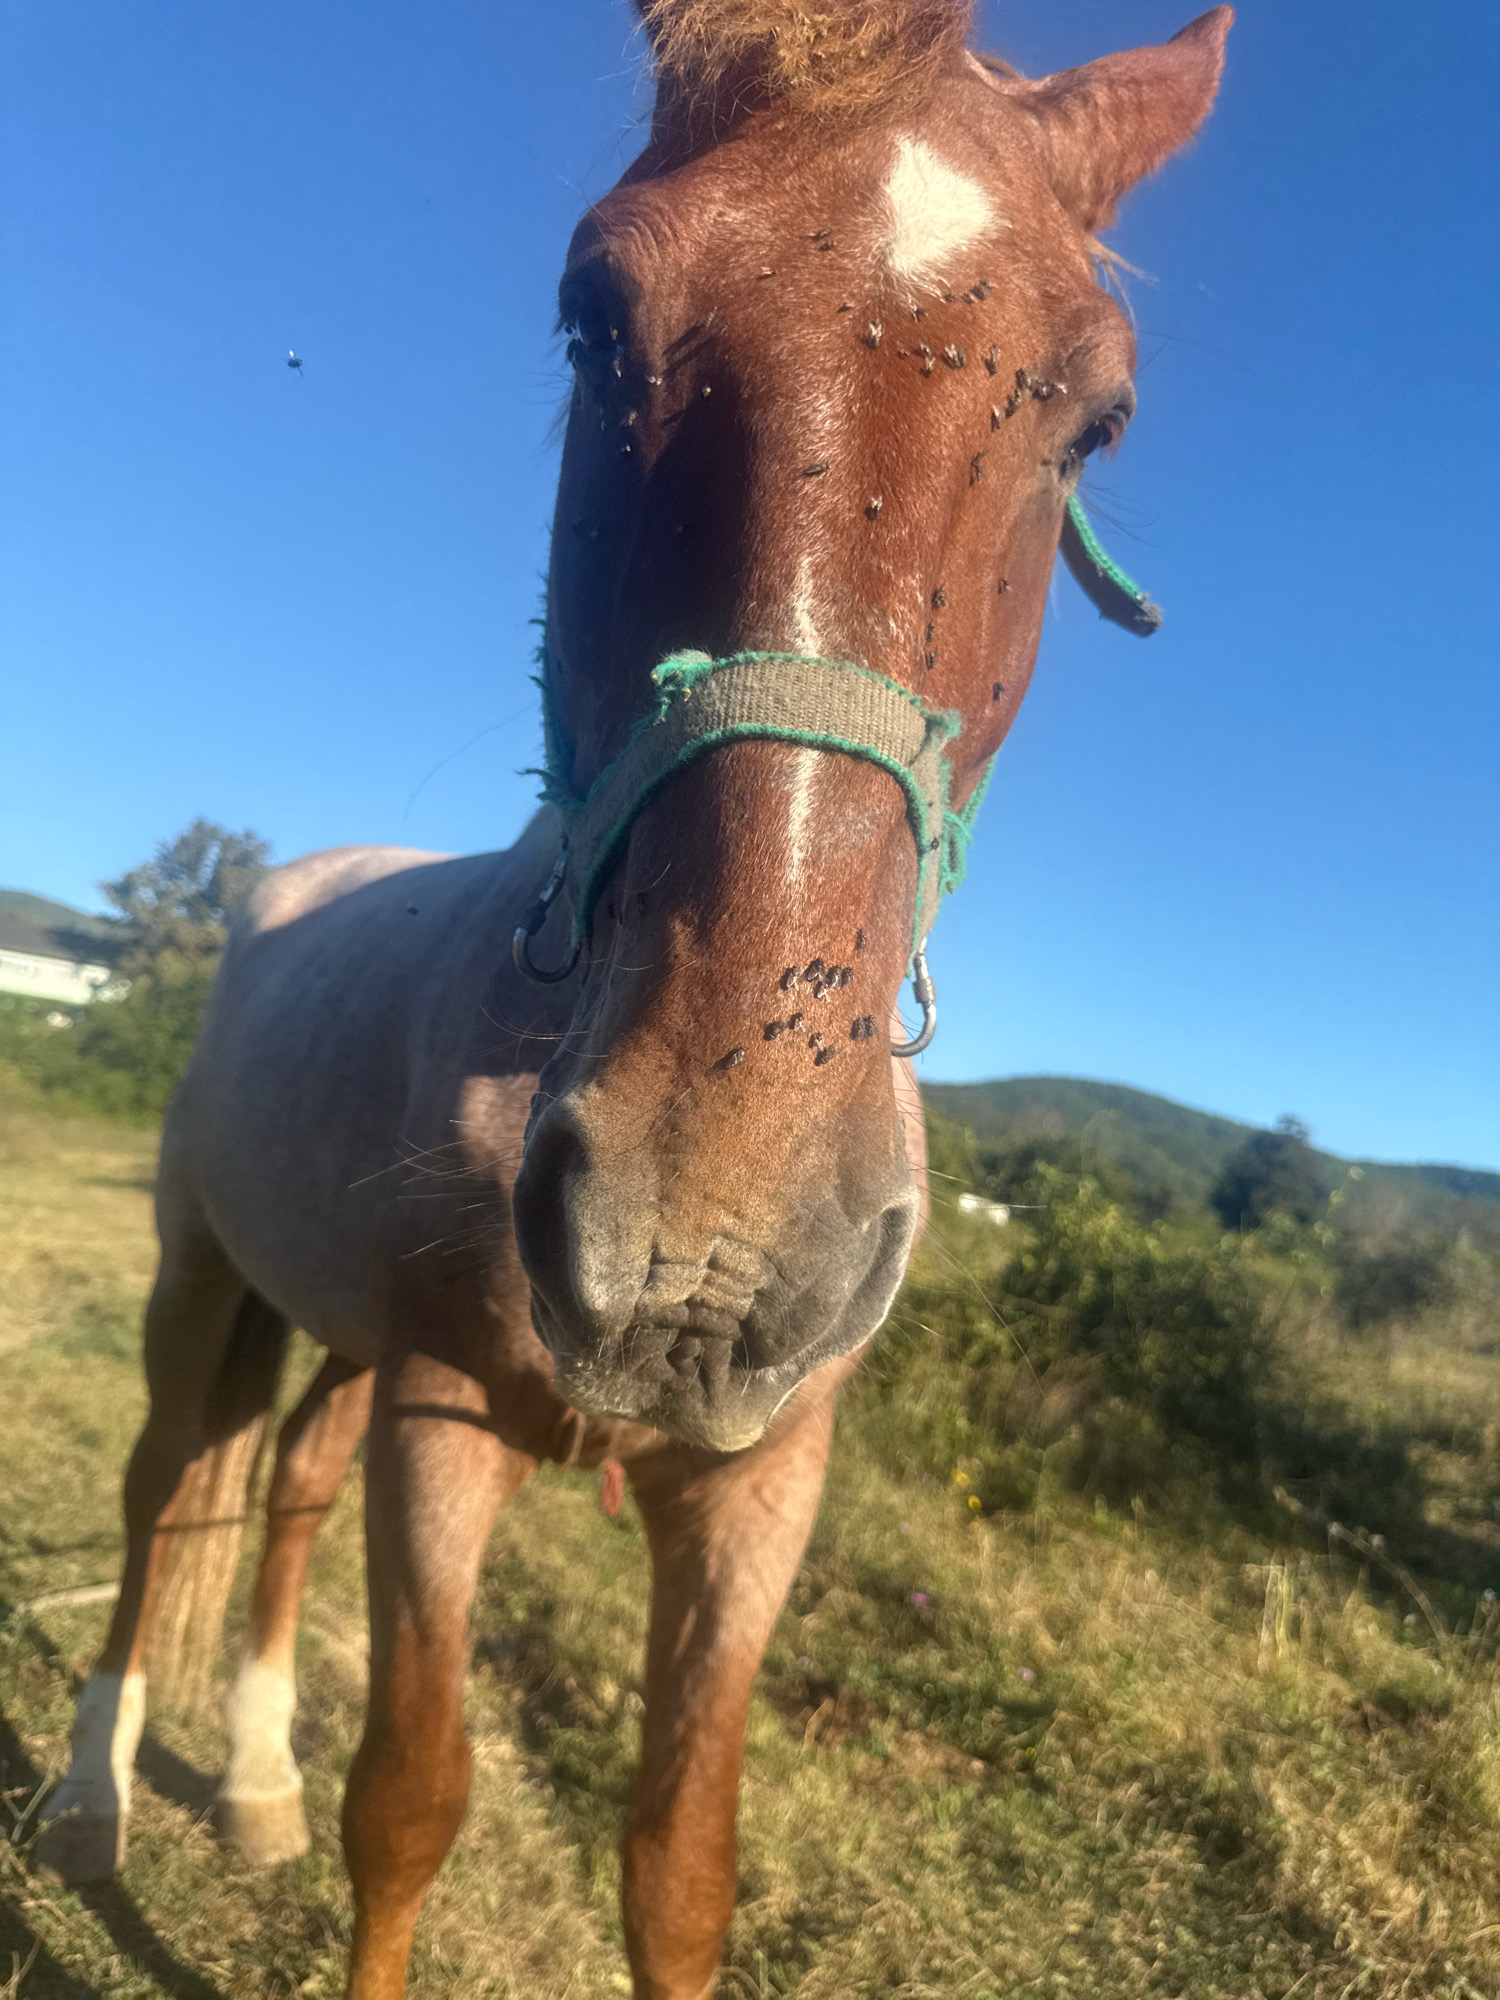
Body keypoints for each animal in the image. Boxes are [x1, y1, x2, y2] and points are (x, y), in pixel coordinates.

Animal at [35, 4, 1230, 1994]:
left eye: (1098, 417)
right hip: (200, 1275)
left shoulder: (757, 1484)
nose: (709, 1237)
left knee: (281, 1489)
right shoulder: (446, 1420)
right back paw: (88, 1797)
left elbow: (681, 1864)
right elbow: (411, 1803)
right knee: (158, 1488)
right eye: (594, 315)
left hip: (336, 1339)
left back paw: (251, 1776)